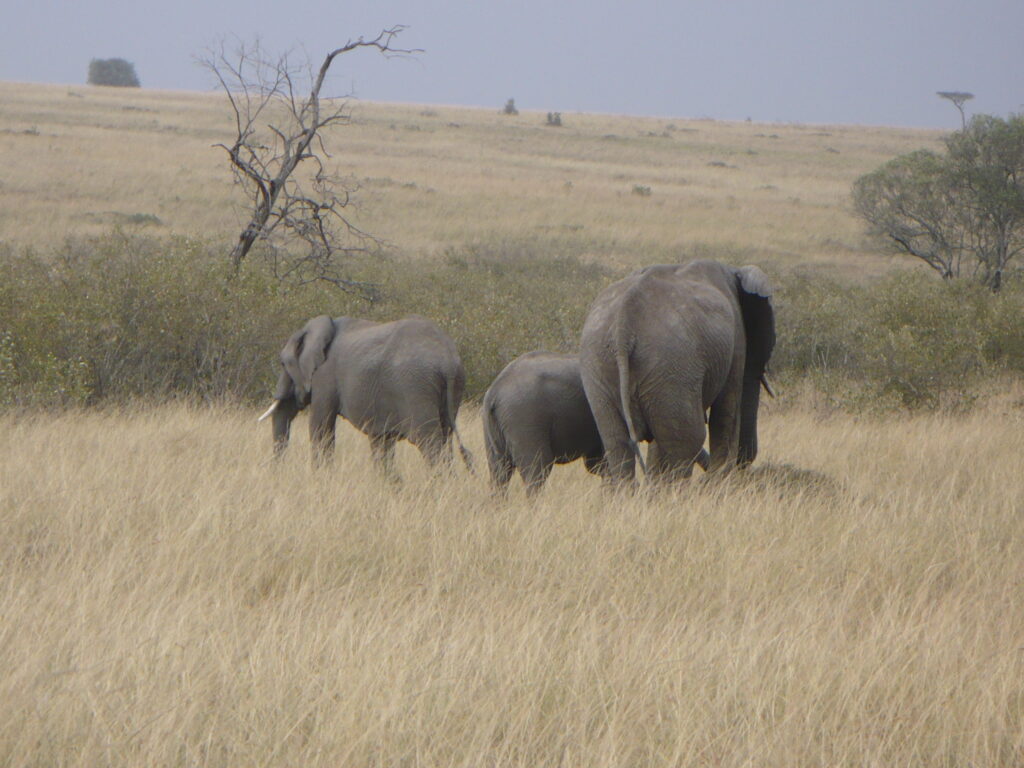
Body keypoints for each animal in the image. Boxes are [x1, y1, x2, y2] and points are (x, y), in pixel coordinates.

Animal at [260, 313, 475, 475]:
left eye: (283, 364)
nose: (277, 471)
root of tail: (447, 360)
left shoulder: (324, 376)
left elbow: (321, 428)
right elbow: (381, 441)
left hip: (416, 386)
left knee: (429, 442)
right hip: (451, 389)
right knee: (446, 439)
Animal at [581, 262, 770, 483]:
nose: (743, 462)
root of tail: (623, 327)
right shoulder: (736, 337)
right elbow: (726, 409)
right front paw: (718, 482)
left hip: (600, 363)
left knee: (618, 443)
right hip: (671, 364)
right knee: (686, 441)